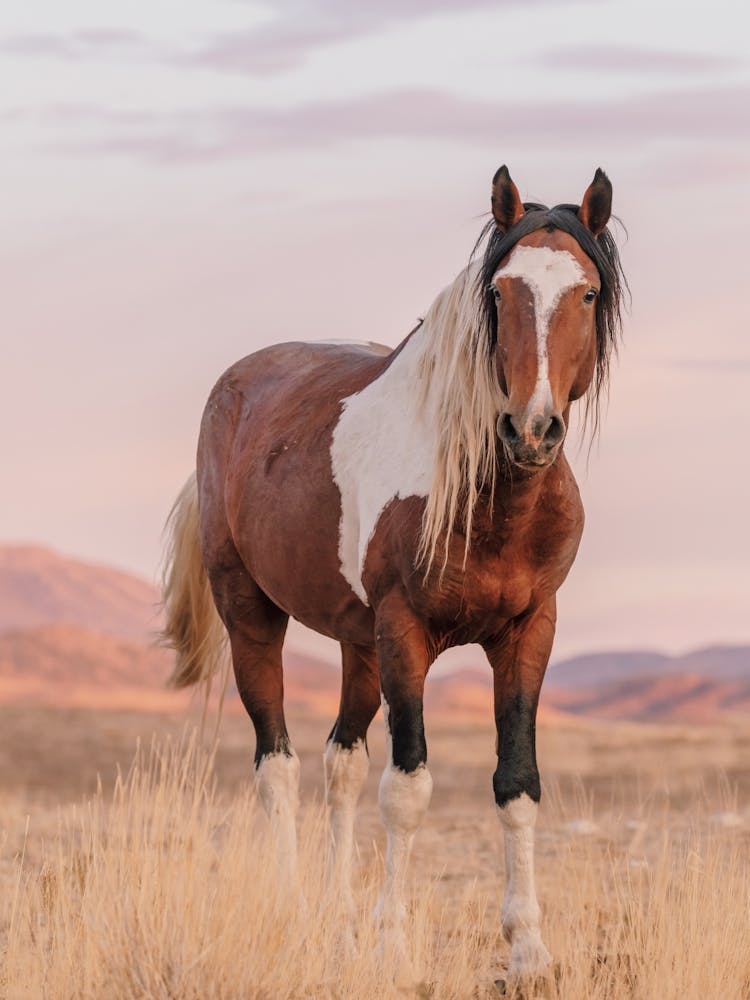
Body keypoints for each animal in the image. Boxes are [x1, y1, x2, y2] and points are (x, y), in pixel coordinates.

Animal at [160, 165, 625, 984]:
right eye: (499, 291)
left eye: (588, 294)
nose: (531, 430)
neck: (484, 497)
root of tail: (236, 386)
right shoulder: (405, 632)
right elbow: (407, 790)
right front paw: (394, 950)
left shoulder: (529, 630)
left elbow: (517, 783)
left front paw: (529, 951)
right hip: (253, 612)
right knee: (277, 764)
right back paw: (295, 914)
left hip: (359, 645)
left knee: (339, 763)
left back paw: (338, 924)